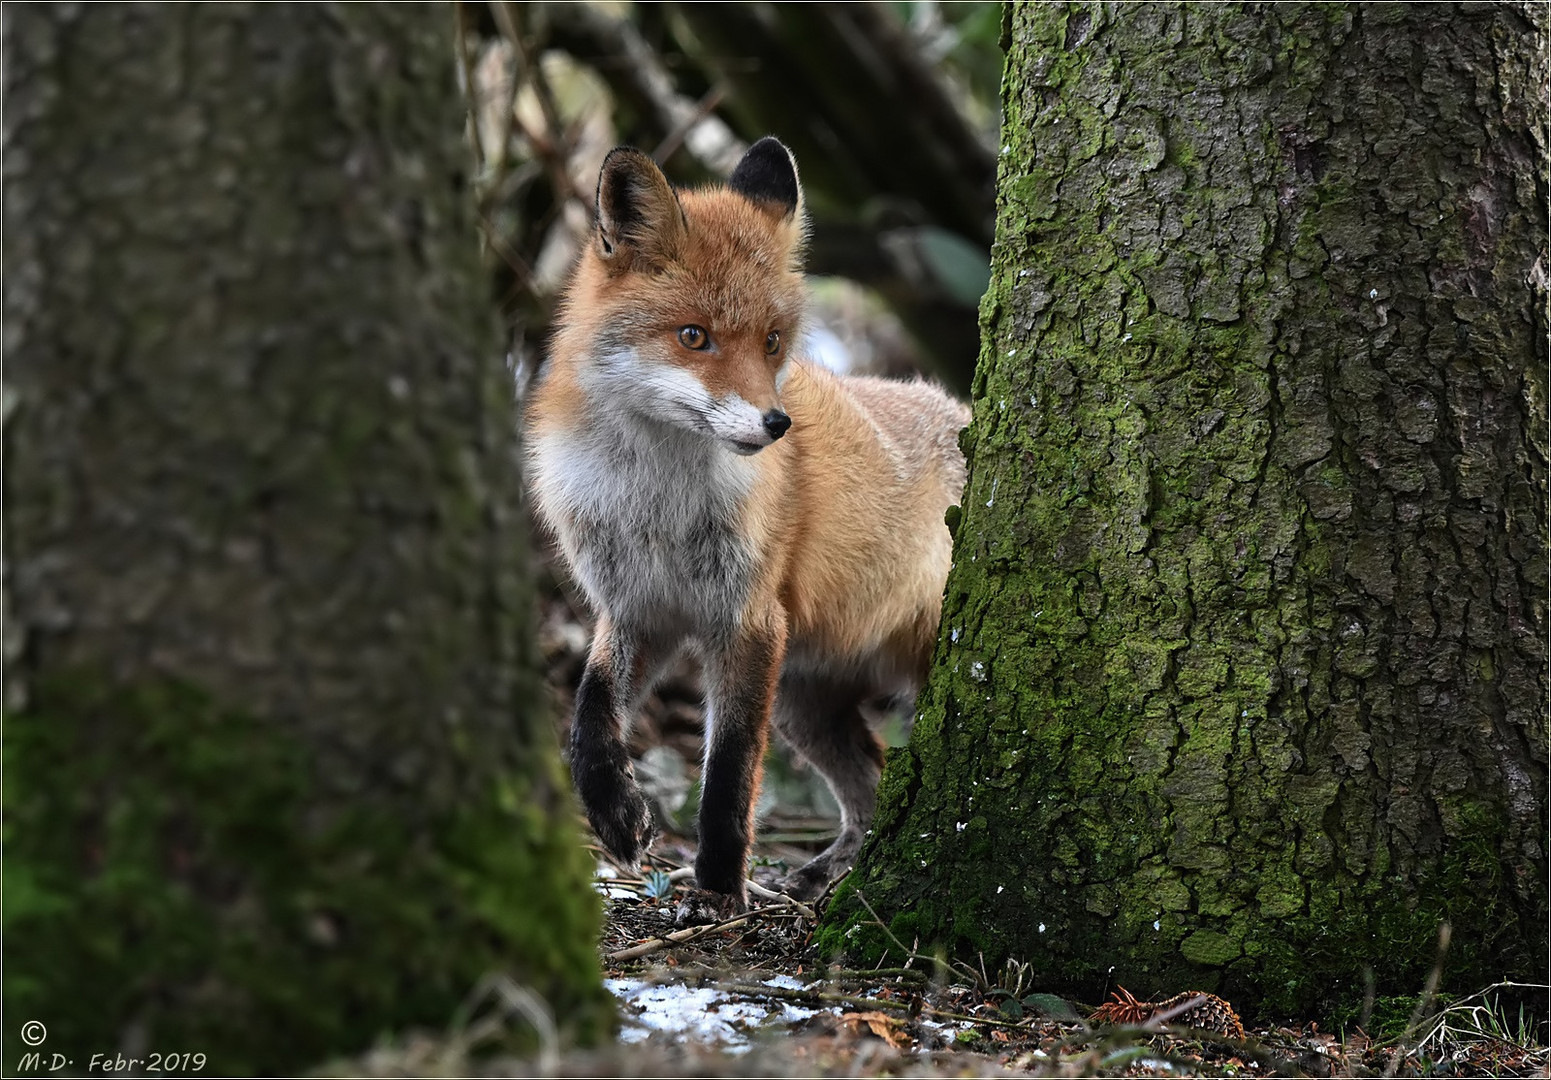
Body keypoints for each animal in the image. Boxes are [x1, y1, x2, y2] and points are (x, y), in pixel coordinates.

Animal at [533, 137, 967, 918]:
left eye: (771, 342)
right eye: (693, 337)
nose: (775, 424)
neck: (657, 503)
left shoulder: (748, 621)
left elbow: (729, 774)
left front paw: (715, 890)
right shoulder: (638, 611)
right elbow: (588, 713)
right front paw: (614, 814)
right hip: (803, 703)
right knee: (872, 789)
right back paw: (826, 879)